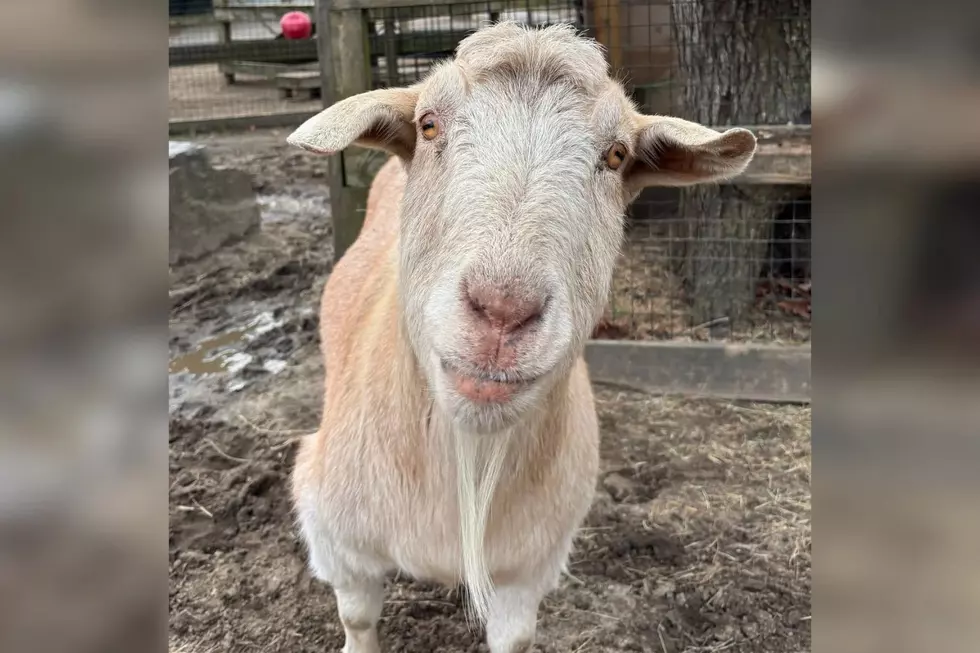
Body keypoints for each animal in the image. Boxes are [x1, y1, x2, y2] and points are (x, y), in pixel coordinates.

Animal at [287, 22, 757, 653]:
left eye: (617, 155)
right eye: (428, 124)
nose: (503, 310)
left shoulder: (529, 566)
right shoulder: (334, 533)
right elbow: (358, 620)